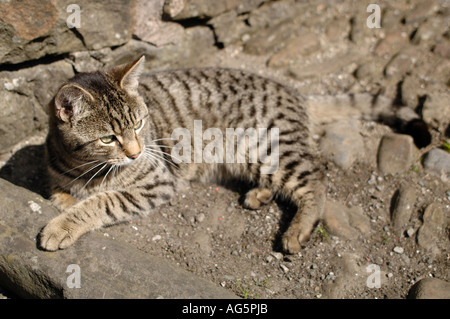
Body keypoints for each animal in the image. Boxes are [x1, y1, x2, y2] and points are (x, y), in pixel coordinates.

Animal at [37, 55, 428, 255]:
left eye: (141, 123)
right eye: (108, 138)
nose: (135, 152)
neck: (82, 166)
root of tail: (294, 92)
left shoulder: (157, 181)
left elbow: (103, 201)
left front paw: (63, 225)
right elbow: (61, 192)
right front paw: (66, 198)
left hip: (265, 147)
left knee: (315, 182)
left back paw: (297, 231)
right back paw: (259, 194)